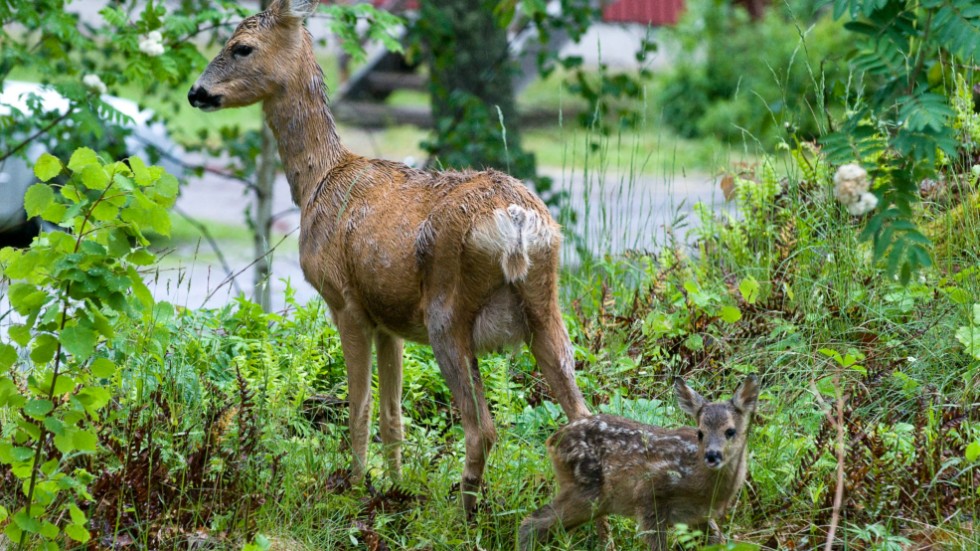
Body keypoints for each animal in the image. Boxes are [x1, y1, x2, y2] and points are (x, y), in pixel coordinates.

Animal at [189, 0, 592, 512]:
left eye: (241, 47)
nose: (195, 92)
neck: (319, 181)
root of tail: (518, 223)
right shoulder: (390, 320)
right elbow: (392, 413)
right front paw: (396, 489)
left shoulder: (344, 301)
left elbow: (359, 407)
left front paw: (355, 489)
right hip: (545, 304)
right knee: (583, 415)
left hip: (447, 313)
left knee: (482, 429)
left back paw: (463, 512)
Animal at [520, 378, 756, 548]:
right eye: (700, 432)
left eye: (730, 431)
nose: (712, 455)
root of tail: (553, 440)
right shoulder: (648, 495)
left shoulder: (698, 515)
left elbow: (719, 541)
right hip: (587, 491)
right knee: (532, 523)